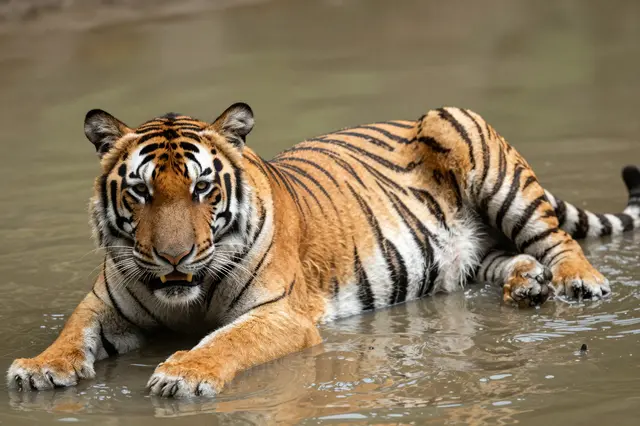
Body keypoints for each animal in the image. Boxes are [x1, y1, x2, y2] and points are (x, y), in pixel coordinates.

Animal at [7, 103, 640, 398]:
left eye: (202, 188)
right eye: (139, 192)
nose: (173, 257)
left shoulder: (279, 313)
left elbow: (226, 340)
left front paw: (183, 374)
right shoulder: (105, 302)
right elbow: (72, 331)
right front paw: (39, 368)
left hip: (468, 137)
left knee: (556, 237)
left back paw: (579, 281)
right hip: (465, 257)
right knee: (507, 258)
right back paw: (526, 285)